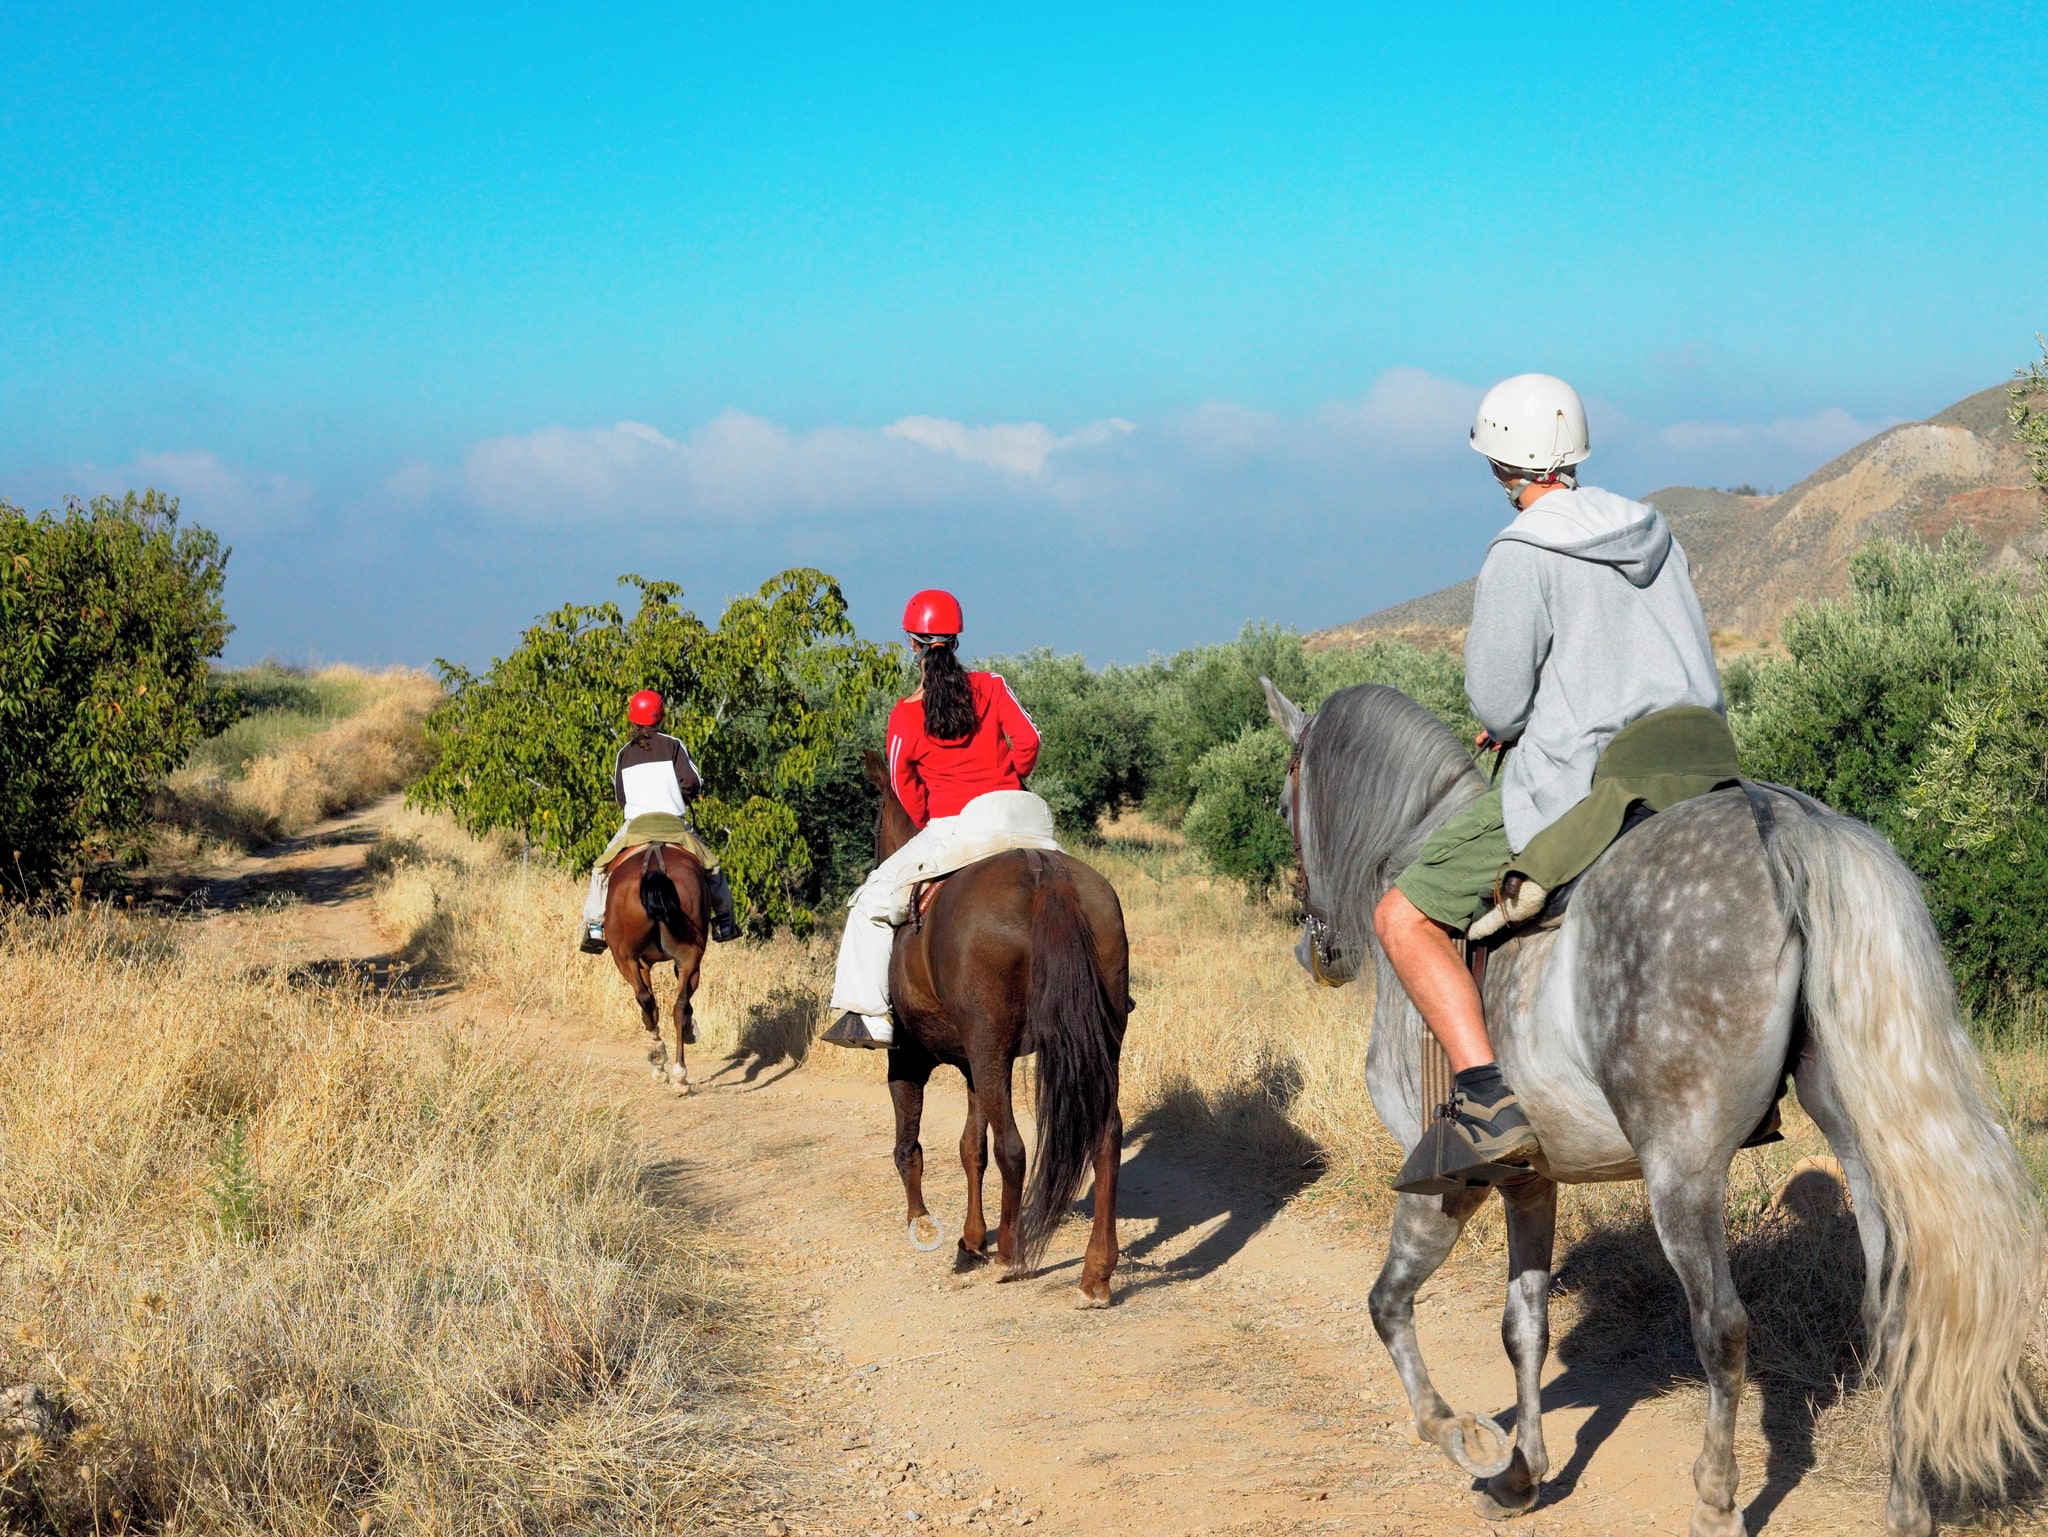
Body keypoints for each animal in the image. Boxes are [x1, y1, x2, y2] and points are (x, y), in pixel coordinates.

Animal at [603, 842, 711, 1094]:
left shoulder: (641, 962)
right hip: (689, 957)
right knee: (678, 1005)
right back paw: (679, 1075)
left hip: (625, 958)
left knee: (647, 1000)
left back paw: (661, 1061)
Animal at [858, 751, 1132, 1306]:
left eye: (875, 824)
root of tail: (1044, 872)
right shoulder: (971, 1065)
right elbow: (971, 1148)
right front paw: (969, 1238)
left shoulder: (911, 1058)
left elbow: (911, 1146)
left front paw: (929, 1226)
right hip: (1095, 1041)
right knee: (1106, 1137)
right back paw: (1095, 1272)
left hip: (992, 1048)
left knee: (1014, 1148)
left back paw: (1009, 1254)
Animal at [1262, 679, 2042, 1537]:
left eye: (1283, 800)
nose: (1315, 950)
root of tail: (1785, 824)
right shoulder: (1530, 1180)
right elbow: (1522, 1324)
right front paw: (1521, 1473)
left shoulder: (1445, 1186)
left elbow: (1388, 1304)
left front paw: (1463, 1435)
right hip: (1861, 1148)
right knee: (1893, 1311)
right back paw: (1905, 1505)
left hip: (1682, 1167)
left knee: (1723, 1326)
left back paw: (1716, 1499)